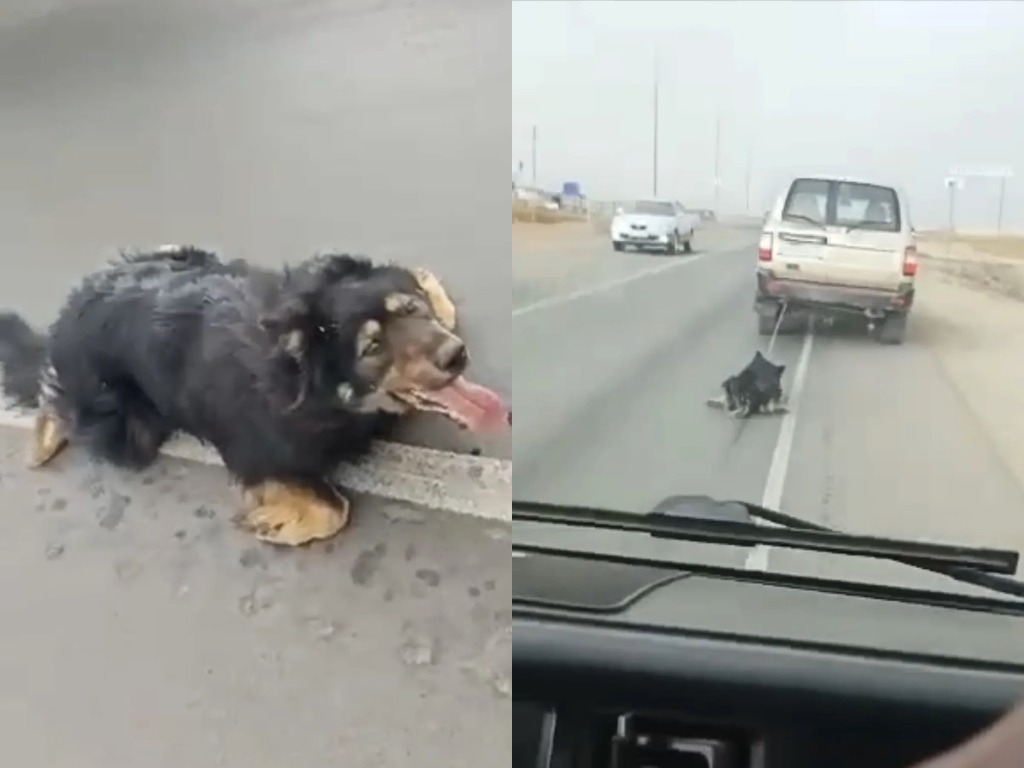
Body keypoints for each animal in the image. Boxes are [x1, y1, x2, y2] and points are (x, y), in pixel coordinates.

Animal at [0, 246, 505, 548]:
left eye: (412, 310)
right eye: (373, 347)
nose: (456, 356)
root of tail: (64, 323)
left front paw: (427, 281)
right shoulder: (257, 455)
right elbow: (334, 508)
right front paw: (278, 519)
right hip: (126, 427)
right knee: (59, 399)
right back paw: (43, 432)